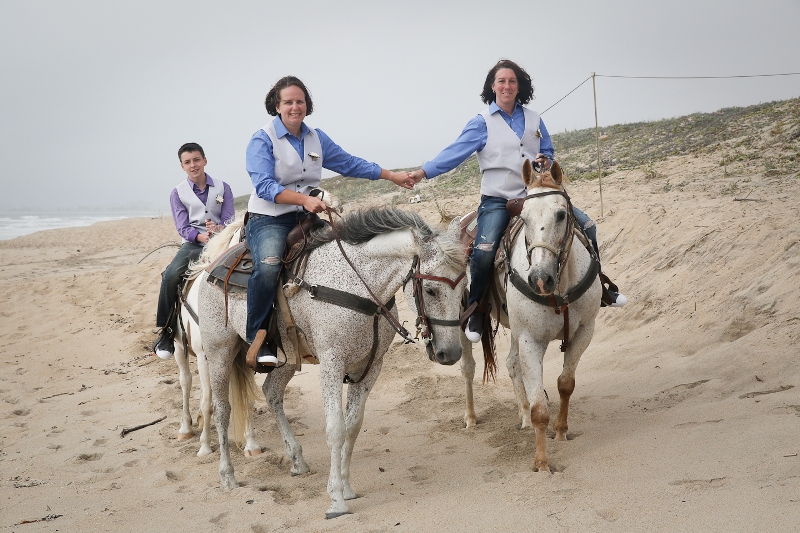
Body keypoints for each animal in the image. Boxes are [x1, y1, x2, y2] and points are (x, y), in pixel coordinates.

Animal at [196, 206, 466, 516]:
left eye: (464, 288)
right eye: (431, 290)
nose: (451, 353)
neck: (357, 285)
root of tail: (209, 268)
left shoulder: (371, 366)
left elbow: (353, 426)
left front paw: (346, 487)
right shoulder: (332, 364)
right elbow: (335, 429)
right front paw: (336, 499)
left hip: (288, 359)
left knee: (272, 393)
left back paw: (297, 460)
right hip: (219, 352)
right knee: (222, 410)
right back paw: (227, 475)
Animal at [456, 160, 600, 472]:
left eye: (561, 214)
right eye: (523, 215)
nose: (539, 279)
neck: (560, 285)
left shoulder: (584, 331)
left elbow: (565, 384)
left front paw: (561, 431)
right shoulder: (530, 340)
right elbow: (539, 410)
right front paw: (542, 462)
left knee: (512, 364)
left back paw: (520, 417)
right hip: (462, 322)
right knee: (468, 368)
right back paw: (470, 418)